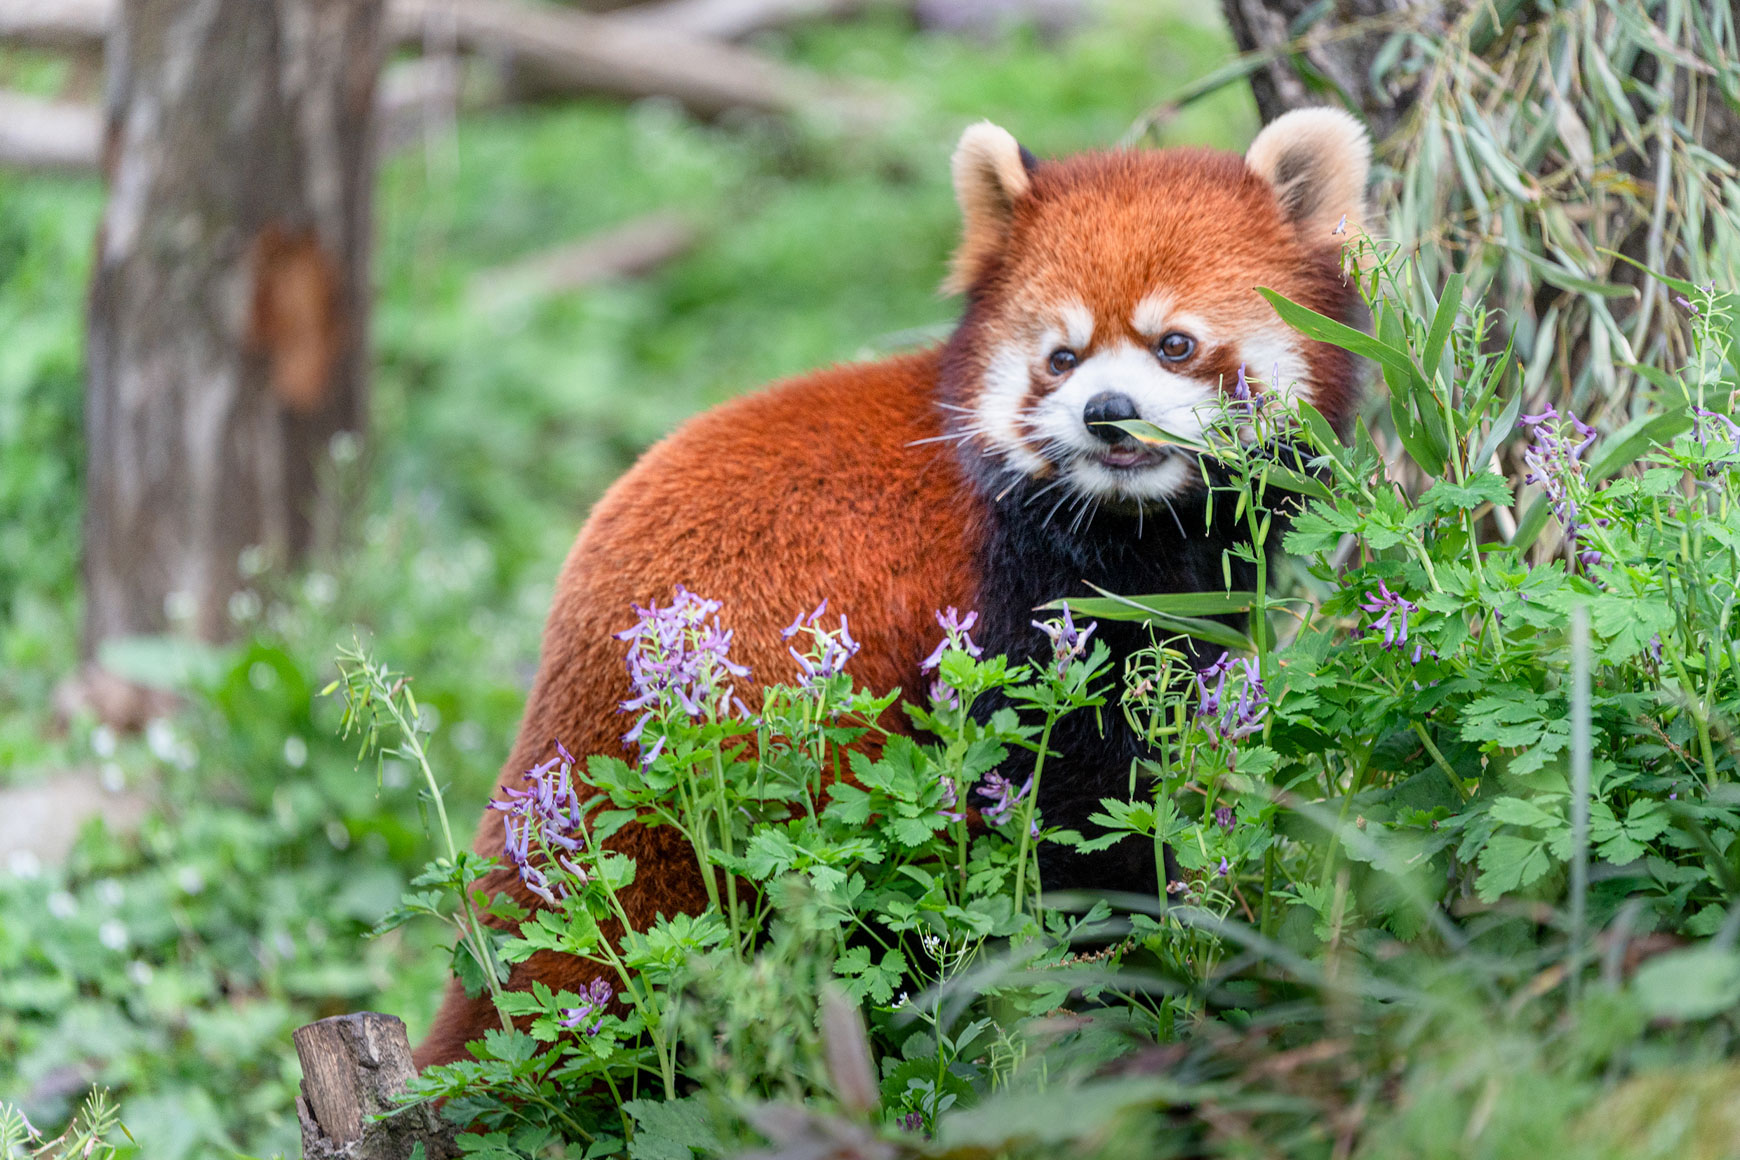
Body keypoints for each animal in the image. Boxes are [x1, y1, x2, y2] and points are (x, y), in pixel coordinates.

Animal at [414, 111, 1364, 1071]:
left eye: (1175, 343)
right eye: (1062, 359)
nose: (1107, 413)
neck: (1133, 524)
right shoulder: (1024, 602)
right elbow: (1077, 809)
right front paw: (1123, 962)